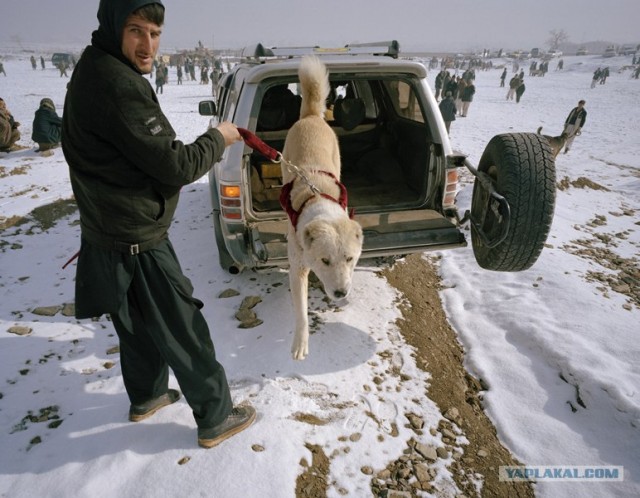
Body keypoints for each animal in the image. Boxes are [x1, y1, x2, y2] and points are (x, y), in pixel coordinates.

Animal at [282, 56, 364, 360]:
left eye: (350, 259)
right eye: (324, 261)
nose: (340, 293)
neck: (317, 198)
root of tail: (312, 118)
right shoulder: (297, 268)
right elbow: (301, 313)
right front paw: (300, 344)